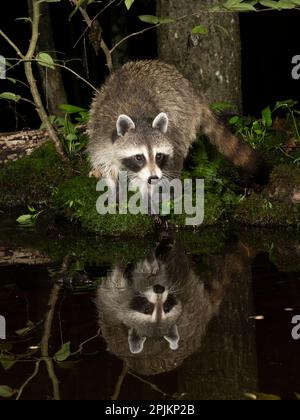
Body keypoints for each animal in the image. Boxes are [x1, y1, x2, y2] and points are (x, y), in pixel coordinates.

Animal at [87, 60, 268, 194]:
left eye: (159, 156)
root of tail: (193, 91)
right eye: (139, 157)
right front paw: (112, 185)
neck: (139, 118)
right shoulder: (100, 130)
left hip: (184, 115)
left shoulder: (172, 130)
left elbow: (172, 158)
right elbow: (103, 160)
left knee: (179, 148)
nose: (153, 178)